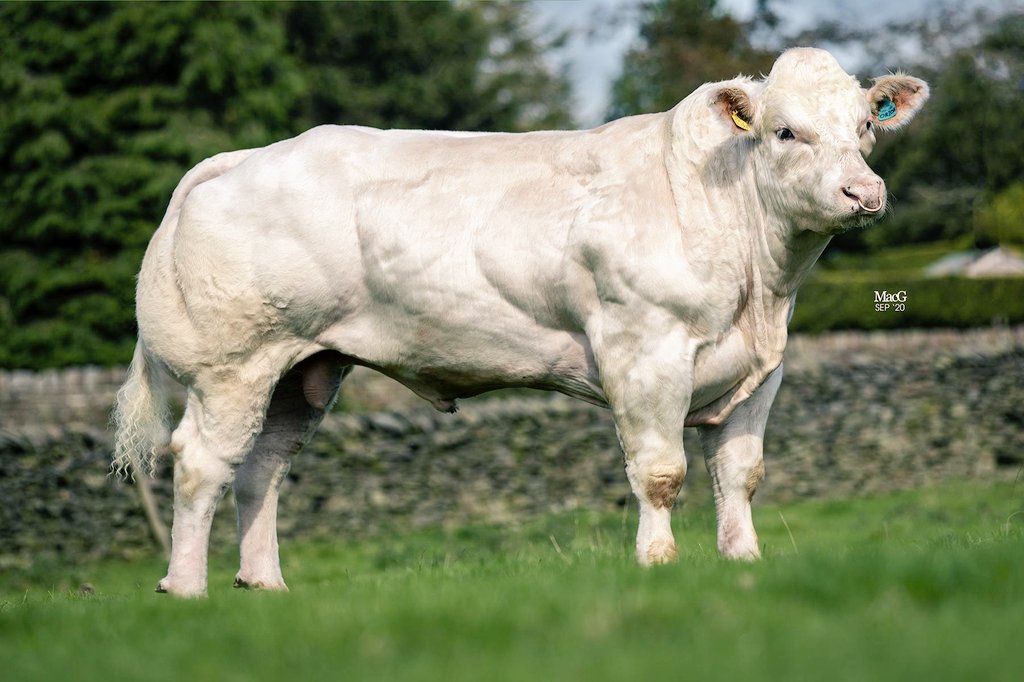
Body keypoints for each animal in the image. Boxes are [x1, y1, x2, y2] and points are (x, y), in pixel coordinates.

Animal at [112, 48, 928, 596]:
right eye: (786, 132)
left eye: (866, 125)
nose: (863, 192)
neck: (759, 286)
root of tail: (242, 157)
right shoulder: (645, 351)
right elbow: (660, 472)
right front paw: (657, 563)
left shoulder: (762, 372)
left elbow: (741, 473)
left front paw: (744, 561)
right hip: (231, 366)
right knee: (201, 463)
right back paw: (186, 588)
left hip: (300, 368)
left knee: (261, 468)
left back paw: (264, 585)